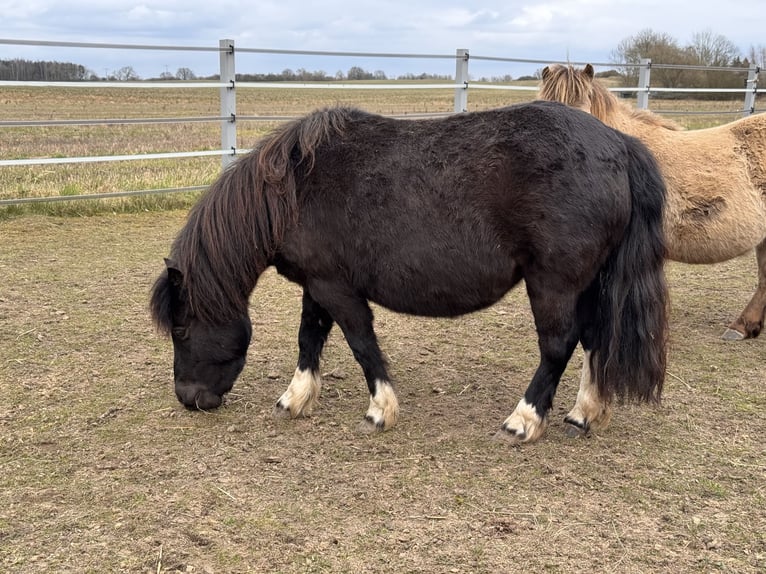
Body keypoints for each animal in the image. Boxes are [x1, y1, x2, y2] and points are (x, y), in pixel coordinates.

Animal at [148, 102, 664, 446]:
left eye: (181, 329)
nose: (188, 398)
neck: (293, 191)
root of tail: (619, 144)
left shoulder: (337, 288)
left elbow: (360, 343)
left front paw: (380, 409)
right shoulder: (318, 284)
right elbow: (308, 338)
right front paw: (295, 399)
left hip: (554, 283)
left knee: (558, 346)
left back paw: (525, 419)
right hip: (588, 284)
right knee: (595, 340)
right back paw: (583, 414)